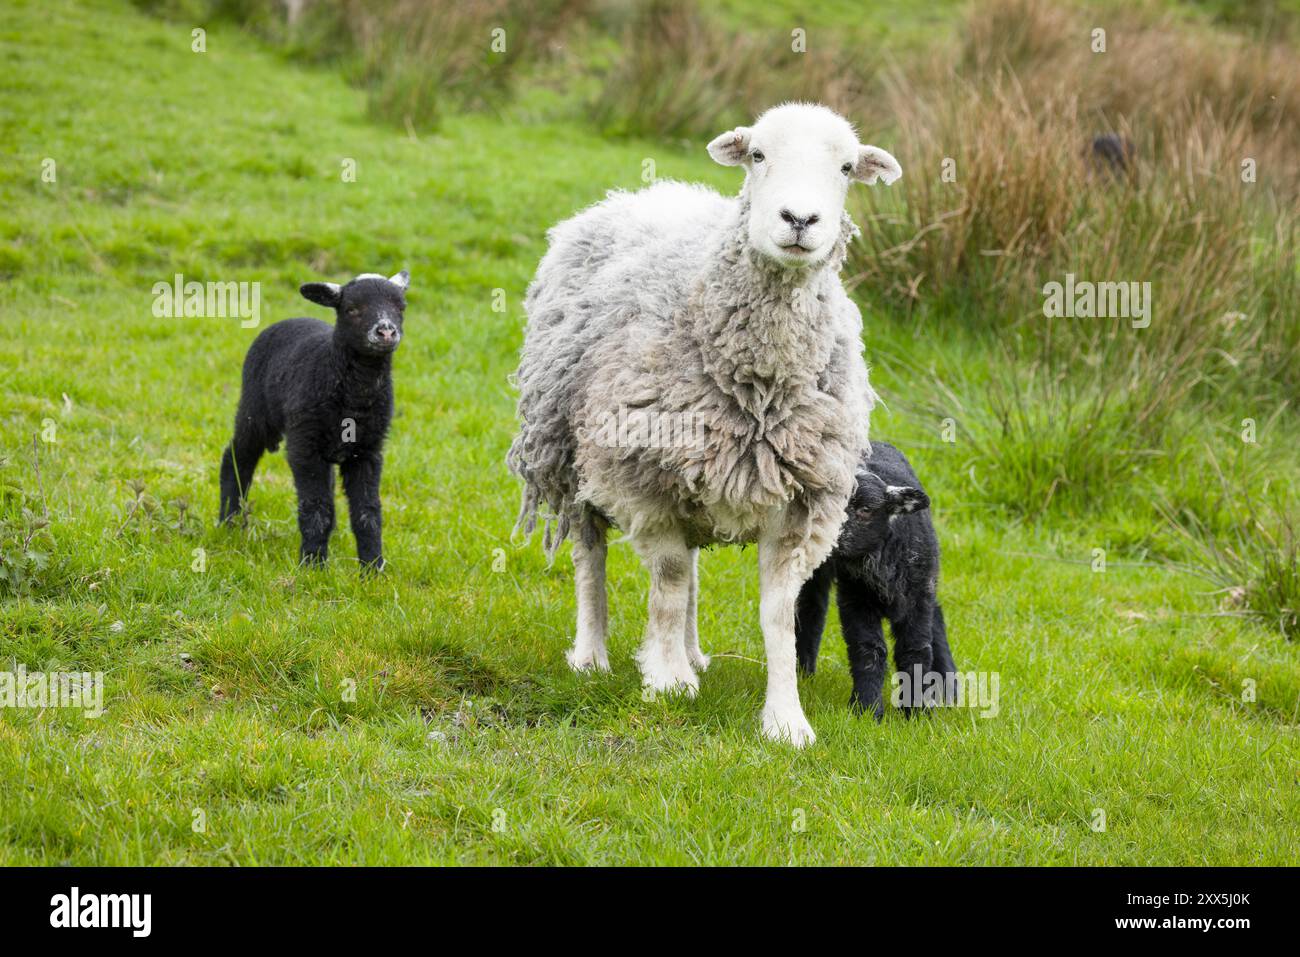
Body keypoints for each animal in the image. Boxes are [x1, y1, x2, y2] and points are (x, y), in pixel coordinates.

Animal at [218, 269, 410, 572]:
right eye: (352, 309)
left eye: (401, 307)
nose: (386, 331)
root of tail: (290, 319)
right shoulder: (303, 446)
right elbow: (317, 509)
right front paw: (312, 566)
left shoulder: (369, 451)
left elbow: (367, 513)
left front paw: (372, 569)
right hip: (254, 411)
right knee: (237, 457)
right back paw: (229, 522)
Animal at [506, 104, 904, 748]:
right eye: (758, 155)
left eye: (846, 167)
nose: (800, 219)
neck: (760, 383)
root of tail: (650, 191)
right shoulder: (644, 476)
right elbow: (666, 583)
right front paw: (667, 683)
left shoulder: (799, 500)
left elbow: (777, 615)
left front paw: (786, 720)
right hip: (570, 448)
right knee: (591, 552)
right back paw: (593, 654)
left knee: (690, 565)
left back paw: (692, 653)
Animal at [790, 442, 956, 717]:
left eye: (866, 510)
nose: (828, 536)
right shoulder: (856, 598)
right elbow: (868, 649)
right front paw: (867, 709)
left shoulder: (918, 595)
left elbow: (915, 648)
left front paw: (915, 711)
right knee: (811, 608)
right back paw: (804, 672)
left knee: (937, 617)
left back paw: (949, 689)